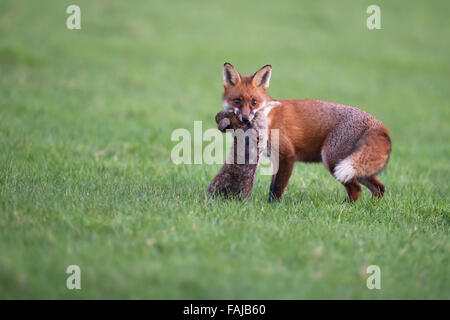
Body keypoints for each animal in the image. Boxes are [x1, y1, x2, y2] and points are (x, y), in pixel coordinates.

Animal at [221, 62, 390, 202]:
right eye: (237, 101)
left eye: (254, 102)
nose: (245, 119)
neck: (267, 116)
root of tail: (377, 122)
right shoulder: (276, 158)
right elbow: (273, 185)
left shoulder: (288, 155)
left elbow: (277, 187)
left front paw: (272, 206)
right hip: (355, 166)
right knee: (379, 188)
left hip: (333, 161)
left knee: (356, 189)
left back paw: (345, 207)